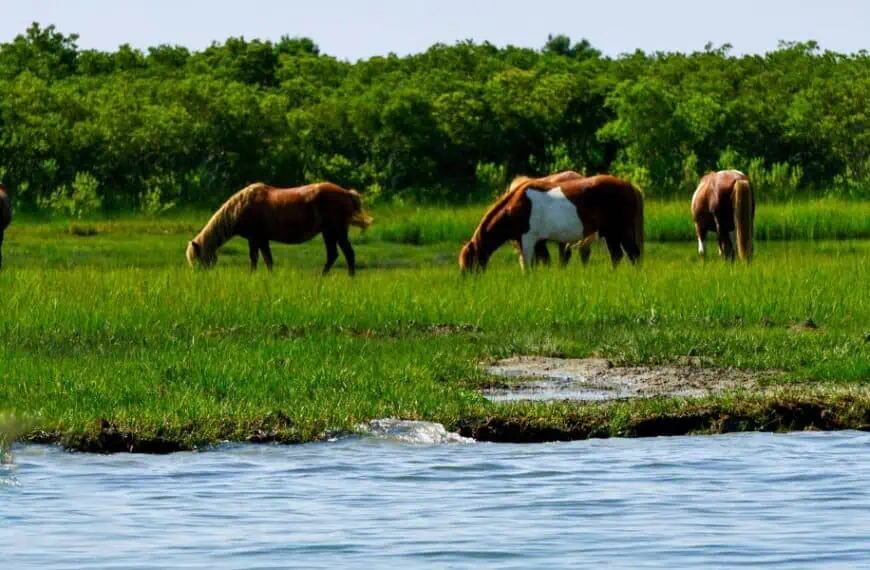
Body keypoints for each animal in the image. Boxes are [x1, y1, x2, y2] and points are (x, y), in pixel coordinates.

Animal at [186, 180, 372, 272]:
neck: (241, 207)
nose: (198, 276)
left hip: (335, 231)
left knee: (347, 254)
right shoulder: (260, 240)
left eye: (198, 259)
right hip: (330, 233)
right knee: (335, 255)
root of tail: (347, 193)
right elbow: (266, 260)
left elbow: (256, 259)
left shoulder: (256, 238)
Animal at [460, 172, 644, 272]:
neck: (516, 206)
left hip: (622, 230)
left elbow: (527, 266)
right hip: (610, 233)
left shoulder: (528, 239)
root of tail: (629, 186)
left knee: (633, 254)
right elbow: (541, 262)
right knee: (617, 255)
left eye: (469, 262)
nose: (467, 281)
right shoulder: (539, 242)